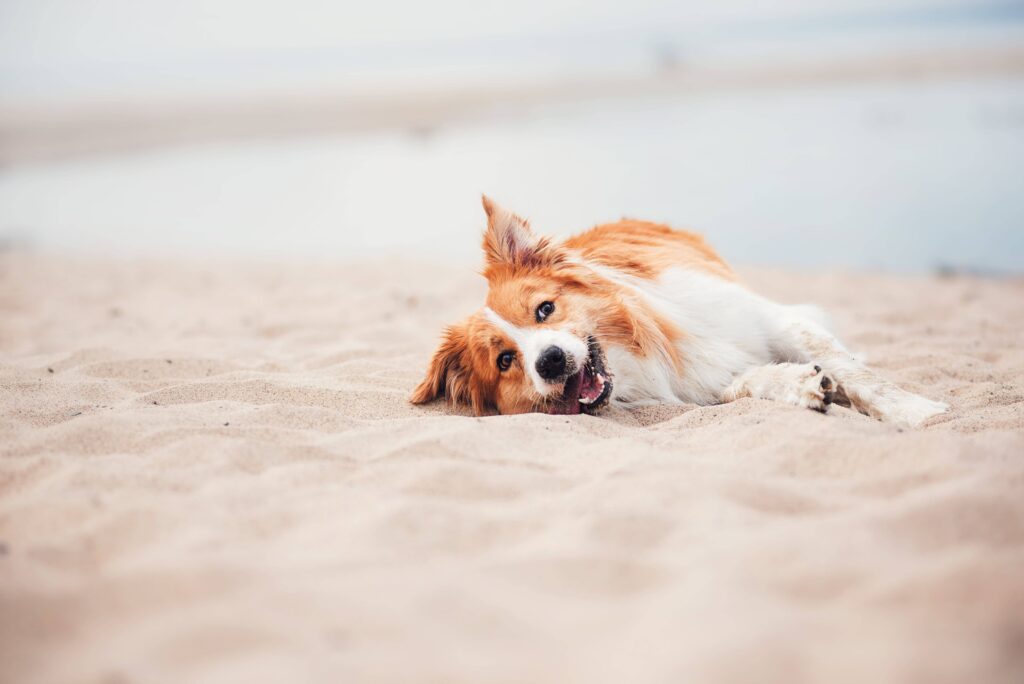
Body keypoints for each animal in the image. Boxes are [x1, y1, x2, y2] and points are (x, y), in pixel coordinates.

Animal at [409, 194, 950, 428]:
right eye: (505, 361)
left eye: (545, 310)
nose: (551, 362)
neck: (633, 360)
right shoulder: (707, 384)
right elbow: (754, 382)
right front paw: (800, 385)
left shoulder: (773, 320)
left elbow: (860, 376)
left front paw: (920, 413)